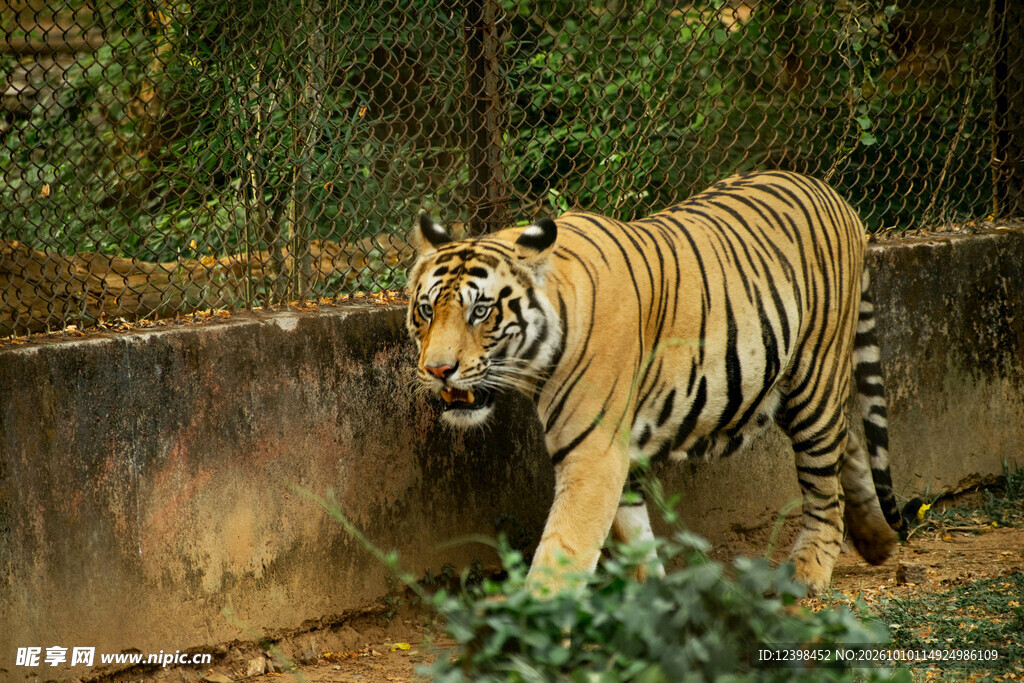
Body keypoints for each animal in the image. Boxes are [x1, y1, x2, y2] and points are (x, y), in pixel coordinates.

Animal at [406, 170, 907, 594]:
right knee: (848, 440)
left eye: (480, 311)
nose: (437, 370)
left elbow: (563, 552)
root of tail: (834, 195)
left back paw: (809, 571)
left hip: (814, 377)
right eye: (427, 310)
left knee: (824, 480)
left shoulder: (593, 454)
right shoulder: (618, 450)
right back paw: (876, 538)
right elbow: (633, 532)